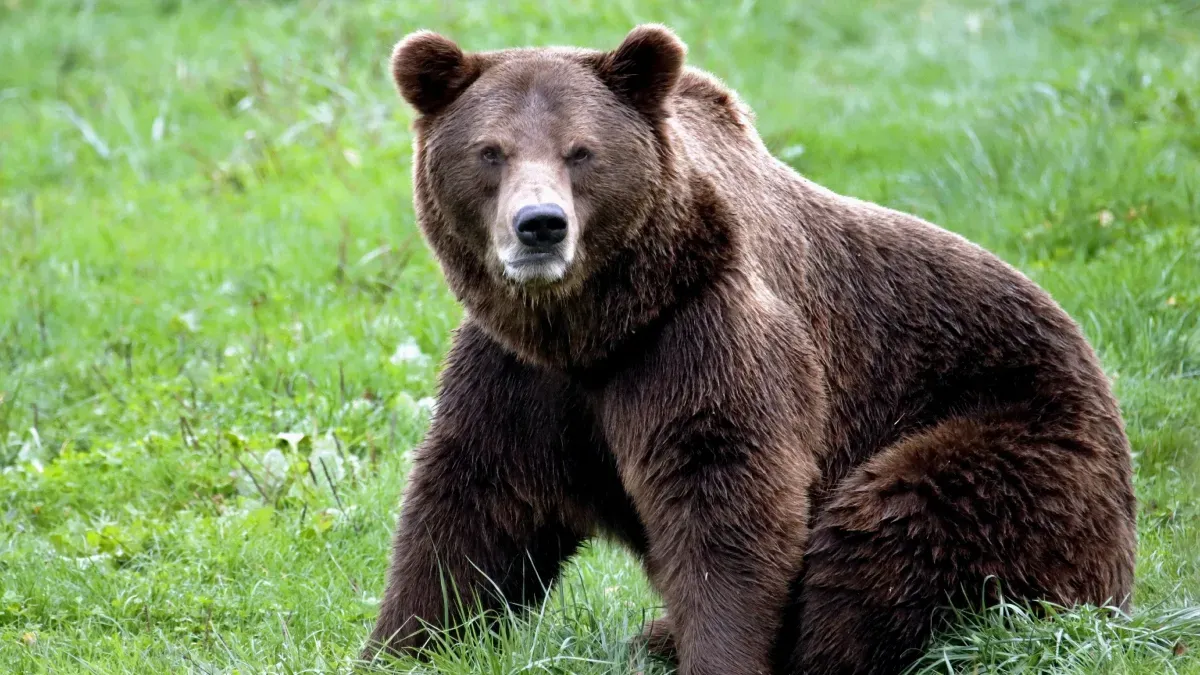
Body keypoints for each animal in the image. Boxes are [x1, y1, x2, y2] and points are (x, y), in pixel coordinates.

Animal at [362, 24, 1137, 675]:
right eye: (490, 151)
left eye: (581, 151)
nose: (541, 226)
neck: (593, 327)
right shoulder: (522, 375)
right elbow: (472, 507)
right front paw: (399, 644)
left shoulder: (699, 334)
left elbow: (727, 495)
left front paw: (719, 653)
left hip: (1017, 437)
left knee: (894, 529)